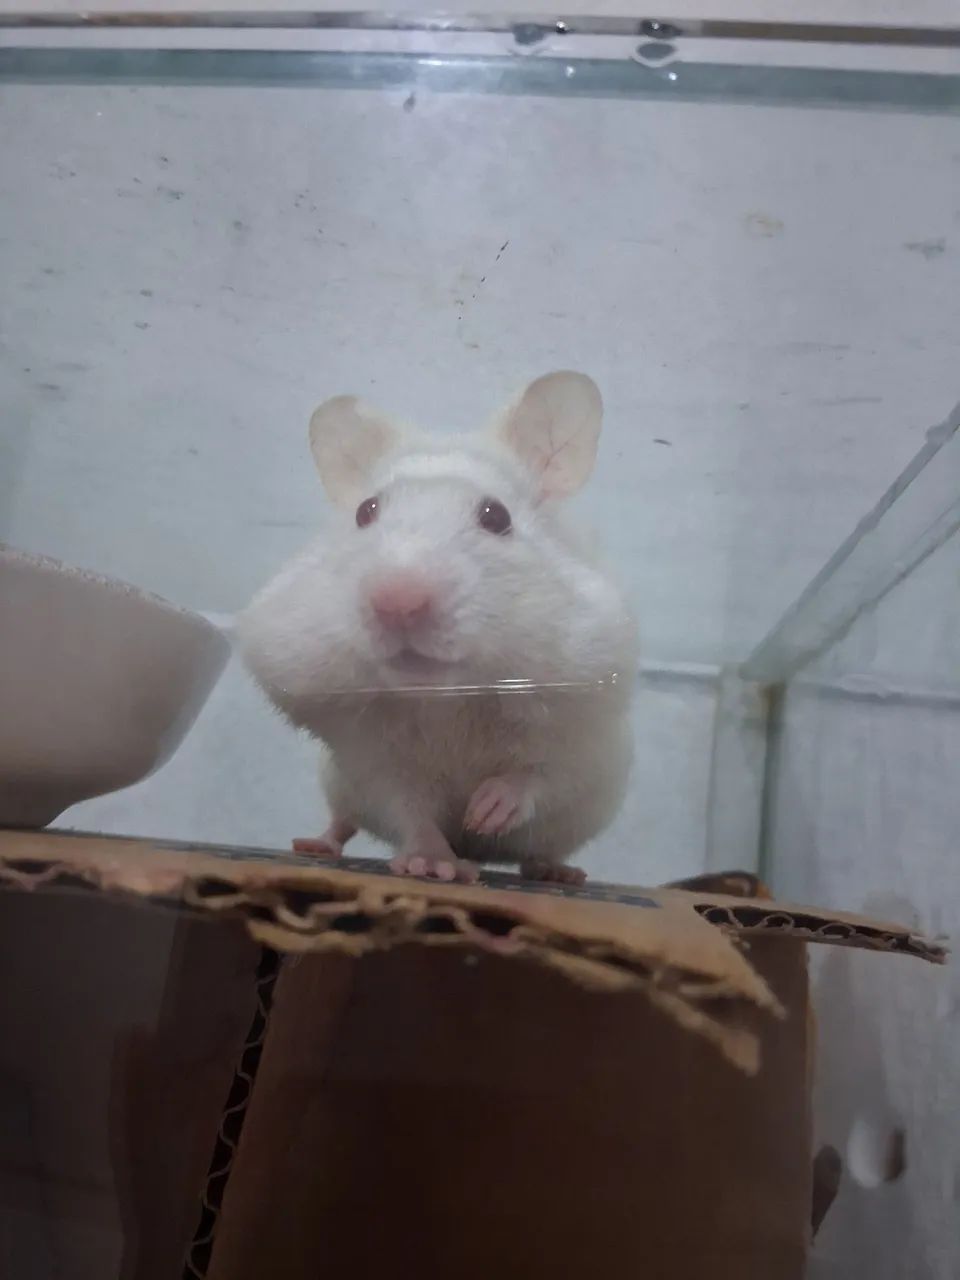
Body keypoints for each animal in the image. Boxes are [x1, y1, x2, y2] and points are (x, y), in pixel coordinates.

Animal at [239, 371, 638, 885]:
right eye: (365, 512)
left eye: (496, 517)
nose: (397, 601)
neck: (446, 699)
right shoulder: (369, 763)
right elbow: (410, 811)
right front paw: (435, 866)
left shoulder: (582, 734)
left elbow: (535, 778)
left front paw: (483, 812)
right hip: (337, 785)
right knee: (342, 821)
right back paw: (315, 846)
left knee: (542, 849)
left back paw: (555, 872)